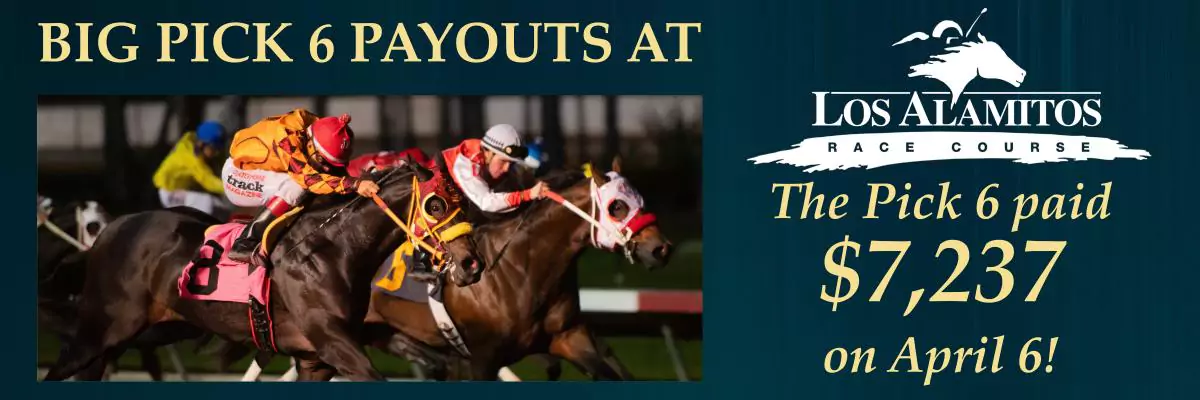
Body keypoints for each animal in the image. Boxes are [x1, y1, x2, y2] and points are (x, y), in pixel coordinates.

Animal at [42, 165, 482, 379]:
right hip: (103, 329)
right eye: (436, 205)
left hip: (158, 329)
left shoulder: (316, 360)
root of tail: (112, 228)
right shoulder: (335, 345)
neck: (334, 250)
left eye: (463, 203)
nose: (471, 264)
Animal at [355, 157, 676, 379]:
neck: (524, 268)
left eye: (640, 198)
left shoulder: (569, 337)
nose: (661, 249)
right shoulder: (482, 359)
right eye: (617, 206)